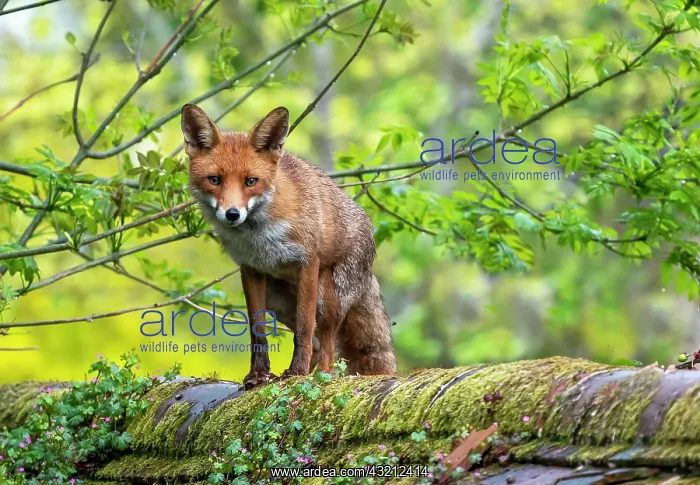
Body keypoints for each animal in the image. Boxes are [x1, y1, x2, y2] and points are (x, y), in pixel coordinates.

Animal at [180, 103, 397, 388]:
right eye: (214, 180)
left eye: (251, 181)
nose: (232, 214)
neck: (259, 236)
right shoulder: (251, 269)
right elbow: (257, 331)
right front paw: (258, 375)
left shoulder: (307, 262)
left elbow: (304, 330)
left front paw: (297, 372)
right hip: (278, 300)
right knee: (317, 343)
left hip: (327, 297)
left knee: (326, 341)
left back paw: (320, 375)